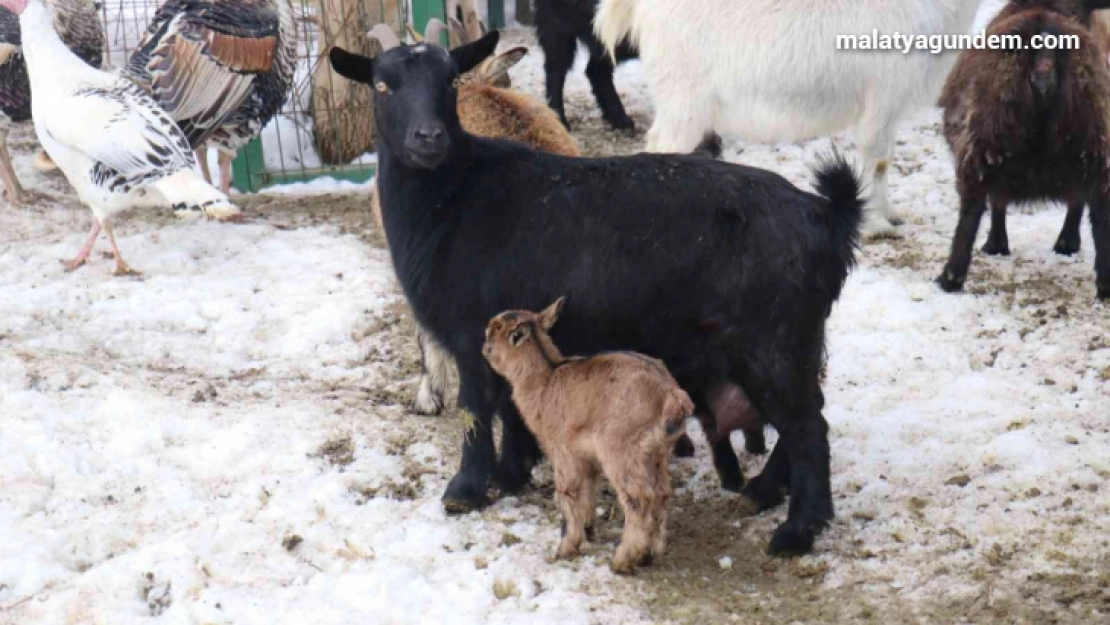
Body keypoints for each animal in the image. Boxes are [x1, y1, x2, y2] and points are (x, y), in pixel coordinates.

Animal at [328, 33, 865, 552]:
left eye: (450, 82)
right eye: (382, 86)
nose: (429, 137)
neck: (455, 197)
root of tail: (827, 216)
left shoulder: (471, 331)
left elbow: (477, 409)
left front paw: (465, 490)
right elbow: (511, 407)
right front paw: (512, 472)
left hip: (772, 339)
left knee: (808, 427)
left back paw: (798, 531)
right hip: (787, 341)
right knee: (804, 417)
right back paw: (764, 493)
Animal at [599, 0, 990, 237]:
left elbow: (884, 162)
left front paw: (889, 213)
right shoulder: (881, 102)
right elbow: (876, 160)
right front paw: (876, 224)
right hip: (684, 97)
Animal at [936, 0, 1110, 299]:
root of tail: (1045, 52)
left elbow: (997, 201)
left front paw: (995, 245)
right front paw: (1067, 244)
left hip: (984, 139)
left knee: (971, 210)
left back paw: (950, 278)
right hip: (1094, 142)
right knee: (1100, 215)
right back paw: (1106, 286)